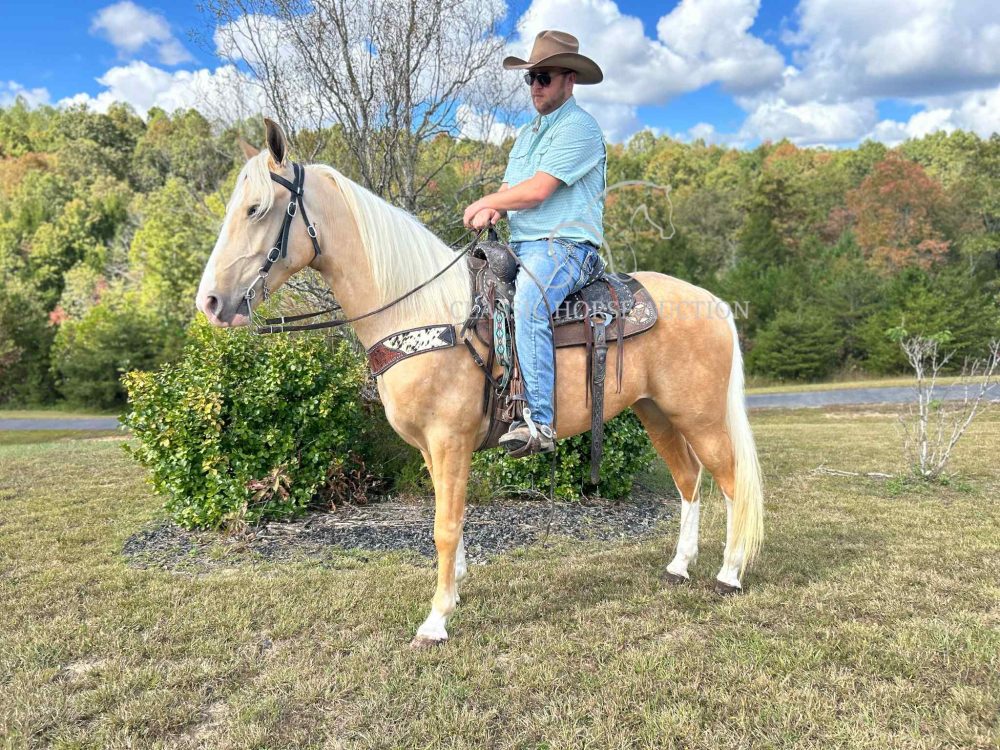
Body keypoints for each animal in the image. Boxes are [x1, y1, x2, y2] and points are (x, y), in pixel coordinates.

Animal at [195, 119, 764, 648]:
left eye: (256, 209)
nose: (211, 303)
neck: (423, 313)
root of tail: (713, 304)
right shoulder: (433, 447)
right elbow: (453, 518)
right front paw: (458, 588)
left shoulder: (450, 439)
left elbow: (444, 528)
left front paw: (436, 620)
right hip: (655, 412)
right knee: (689, 479)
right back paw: (679, 566)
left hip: (699, 415)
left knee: (732, 481)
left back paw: (729, 573)